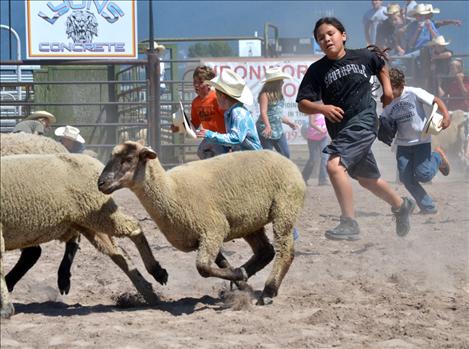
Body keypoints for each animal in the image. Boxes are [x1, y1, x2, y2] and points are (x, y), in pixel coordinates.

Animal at [0, 152, 168, 318]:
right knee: (118, 253)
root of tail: (91, 160)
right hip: (88, 223)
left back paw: (156, 271)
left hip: (98, 212)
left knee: (134, 227)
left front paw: (6, 309)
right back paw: (148, 291)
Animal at [97, 140, 306, 304]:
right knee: (265, 251)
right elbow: (221, 263)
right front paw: (240, 279)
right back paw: (248, 276)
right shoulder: (203, 236)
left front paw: (239, 276)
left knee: (285, 251)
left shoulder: (214, 229)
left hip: (285, 209)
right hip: (250, 222)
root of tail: (287, 160)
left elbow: (203, 267)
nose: (100, 183)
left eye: (128, 159)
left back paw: (269, 291)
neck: (172, 191)